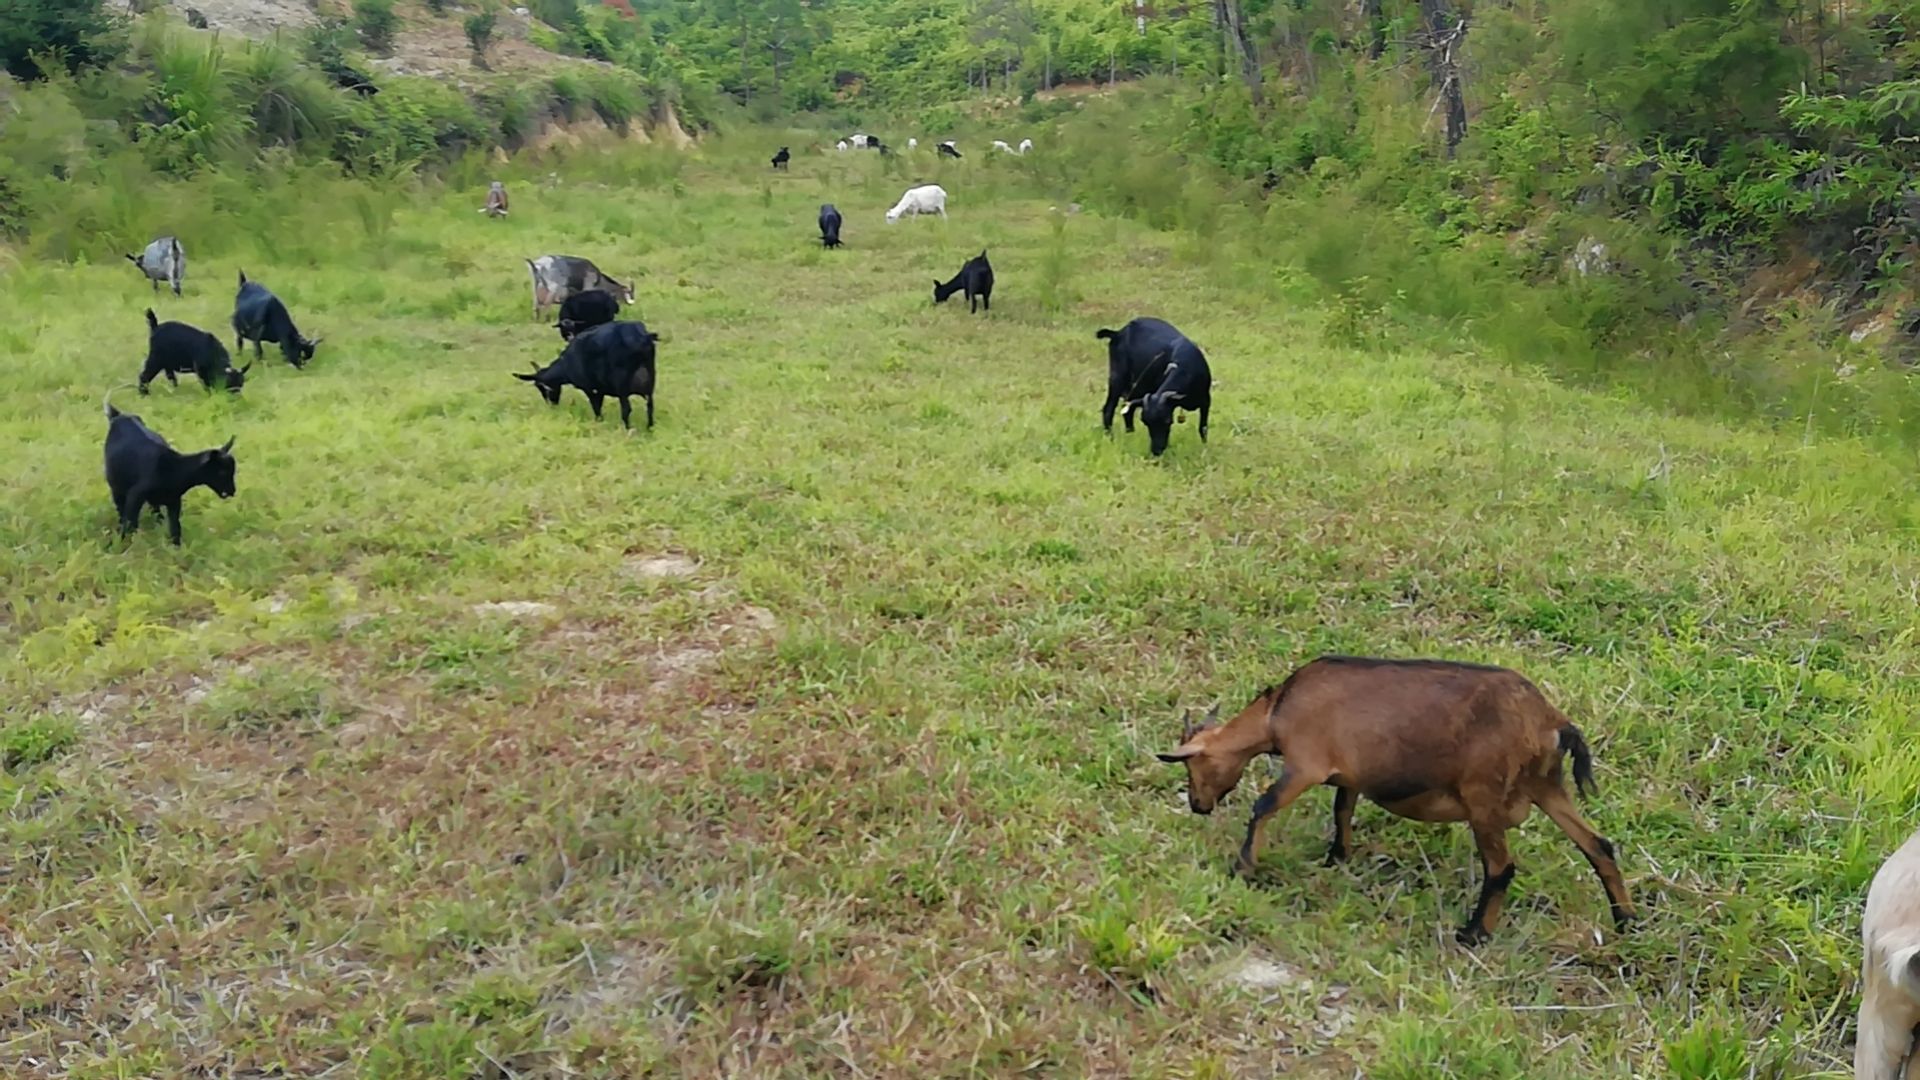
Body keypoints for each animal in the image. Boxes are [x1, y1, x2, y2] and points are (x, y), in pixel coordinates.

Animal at [104, 384, 237, 545]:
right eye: (222, 472)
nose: (232, 491)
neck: (174, 469)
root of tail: (119, 416)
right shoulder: (135, 496)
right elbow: (130, 524)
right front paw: (121, 544)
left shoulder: (174, 502)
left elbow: (175, 528)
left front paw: (176, 547)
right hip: (116, 484)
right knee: (121, 508)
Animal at [514, 319, 664, 428]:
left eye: (541, 387)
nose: (551, 405)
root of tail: (642, 337)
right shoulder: (601, 388)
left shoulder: (588, 387)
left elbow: (595, 406)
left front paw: (599, 421)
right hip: (650, 379)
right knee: (650, 406)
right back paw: (649, 428)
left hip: (622, 384)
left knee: (626, 409)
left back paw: (627, 429)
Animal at [1098, 317, 1213, 455]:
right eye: (1145, 422)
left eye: (1167, 421)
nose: (1156, 451)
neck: (1186, 368)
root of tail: (1118, 333)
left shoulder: (1206, 401)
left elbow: (1203, 428)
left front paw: (1205, 447)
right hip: (1118, 378)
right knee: (1109, 409)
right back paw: (1110, 437)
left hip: (1137, 386)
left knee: (1127, 409)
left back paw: (1130, 434)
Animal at [1152, 653, 1635, 937]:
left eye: (1193, 765)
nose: (1198, 804)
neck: (1278, 711)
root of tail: (1551, 722)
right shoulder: (1349, 774)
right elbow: (1342, 809)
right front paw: (1337, 857)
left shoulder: (1305, 765)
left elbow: (1263, 806)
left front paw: (1244, 866)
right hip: (1547, 786)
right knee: (1598, 845)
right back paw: (1626, 921)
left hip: (1484, 799)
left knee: (1502, 867)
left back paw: (1473, 934)